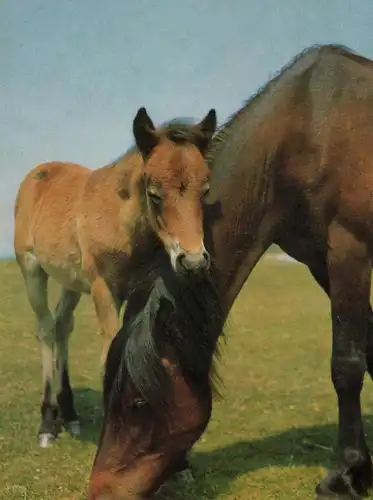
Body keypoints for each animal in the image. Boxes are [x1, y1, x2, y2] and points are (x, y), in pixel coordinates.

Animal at [13, 106, 217, 450]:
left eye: (204, 191)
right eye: (154, 194)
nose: (192, 262)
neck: (122, 221)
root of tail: (38, 173)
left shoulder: (139, 290)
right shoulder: (103, 289)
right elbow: (108, 353)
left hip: (71, 282)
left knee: (62, 325)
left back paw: (70, 415)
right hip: (31, 269)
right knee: (45, 329)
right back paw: (48, 423)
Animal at [88, 45, 373, 498]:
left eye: (138, 404)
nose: (97, 490)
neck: (309, 127)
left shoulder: (350, 249)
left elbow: (347, 364)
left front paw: (344, 474)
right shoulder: (319, 260)